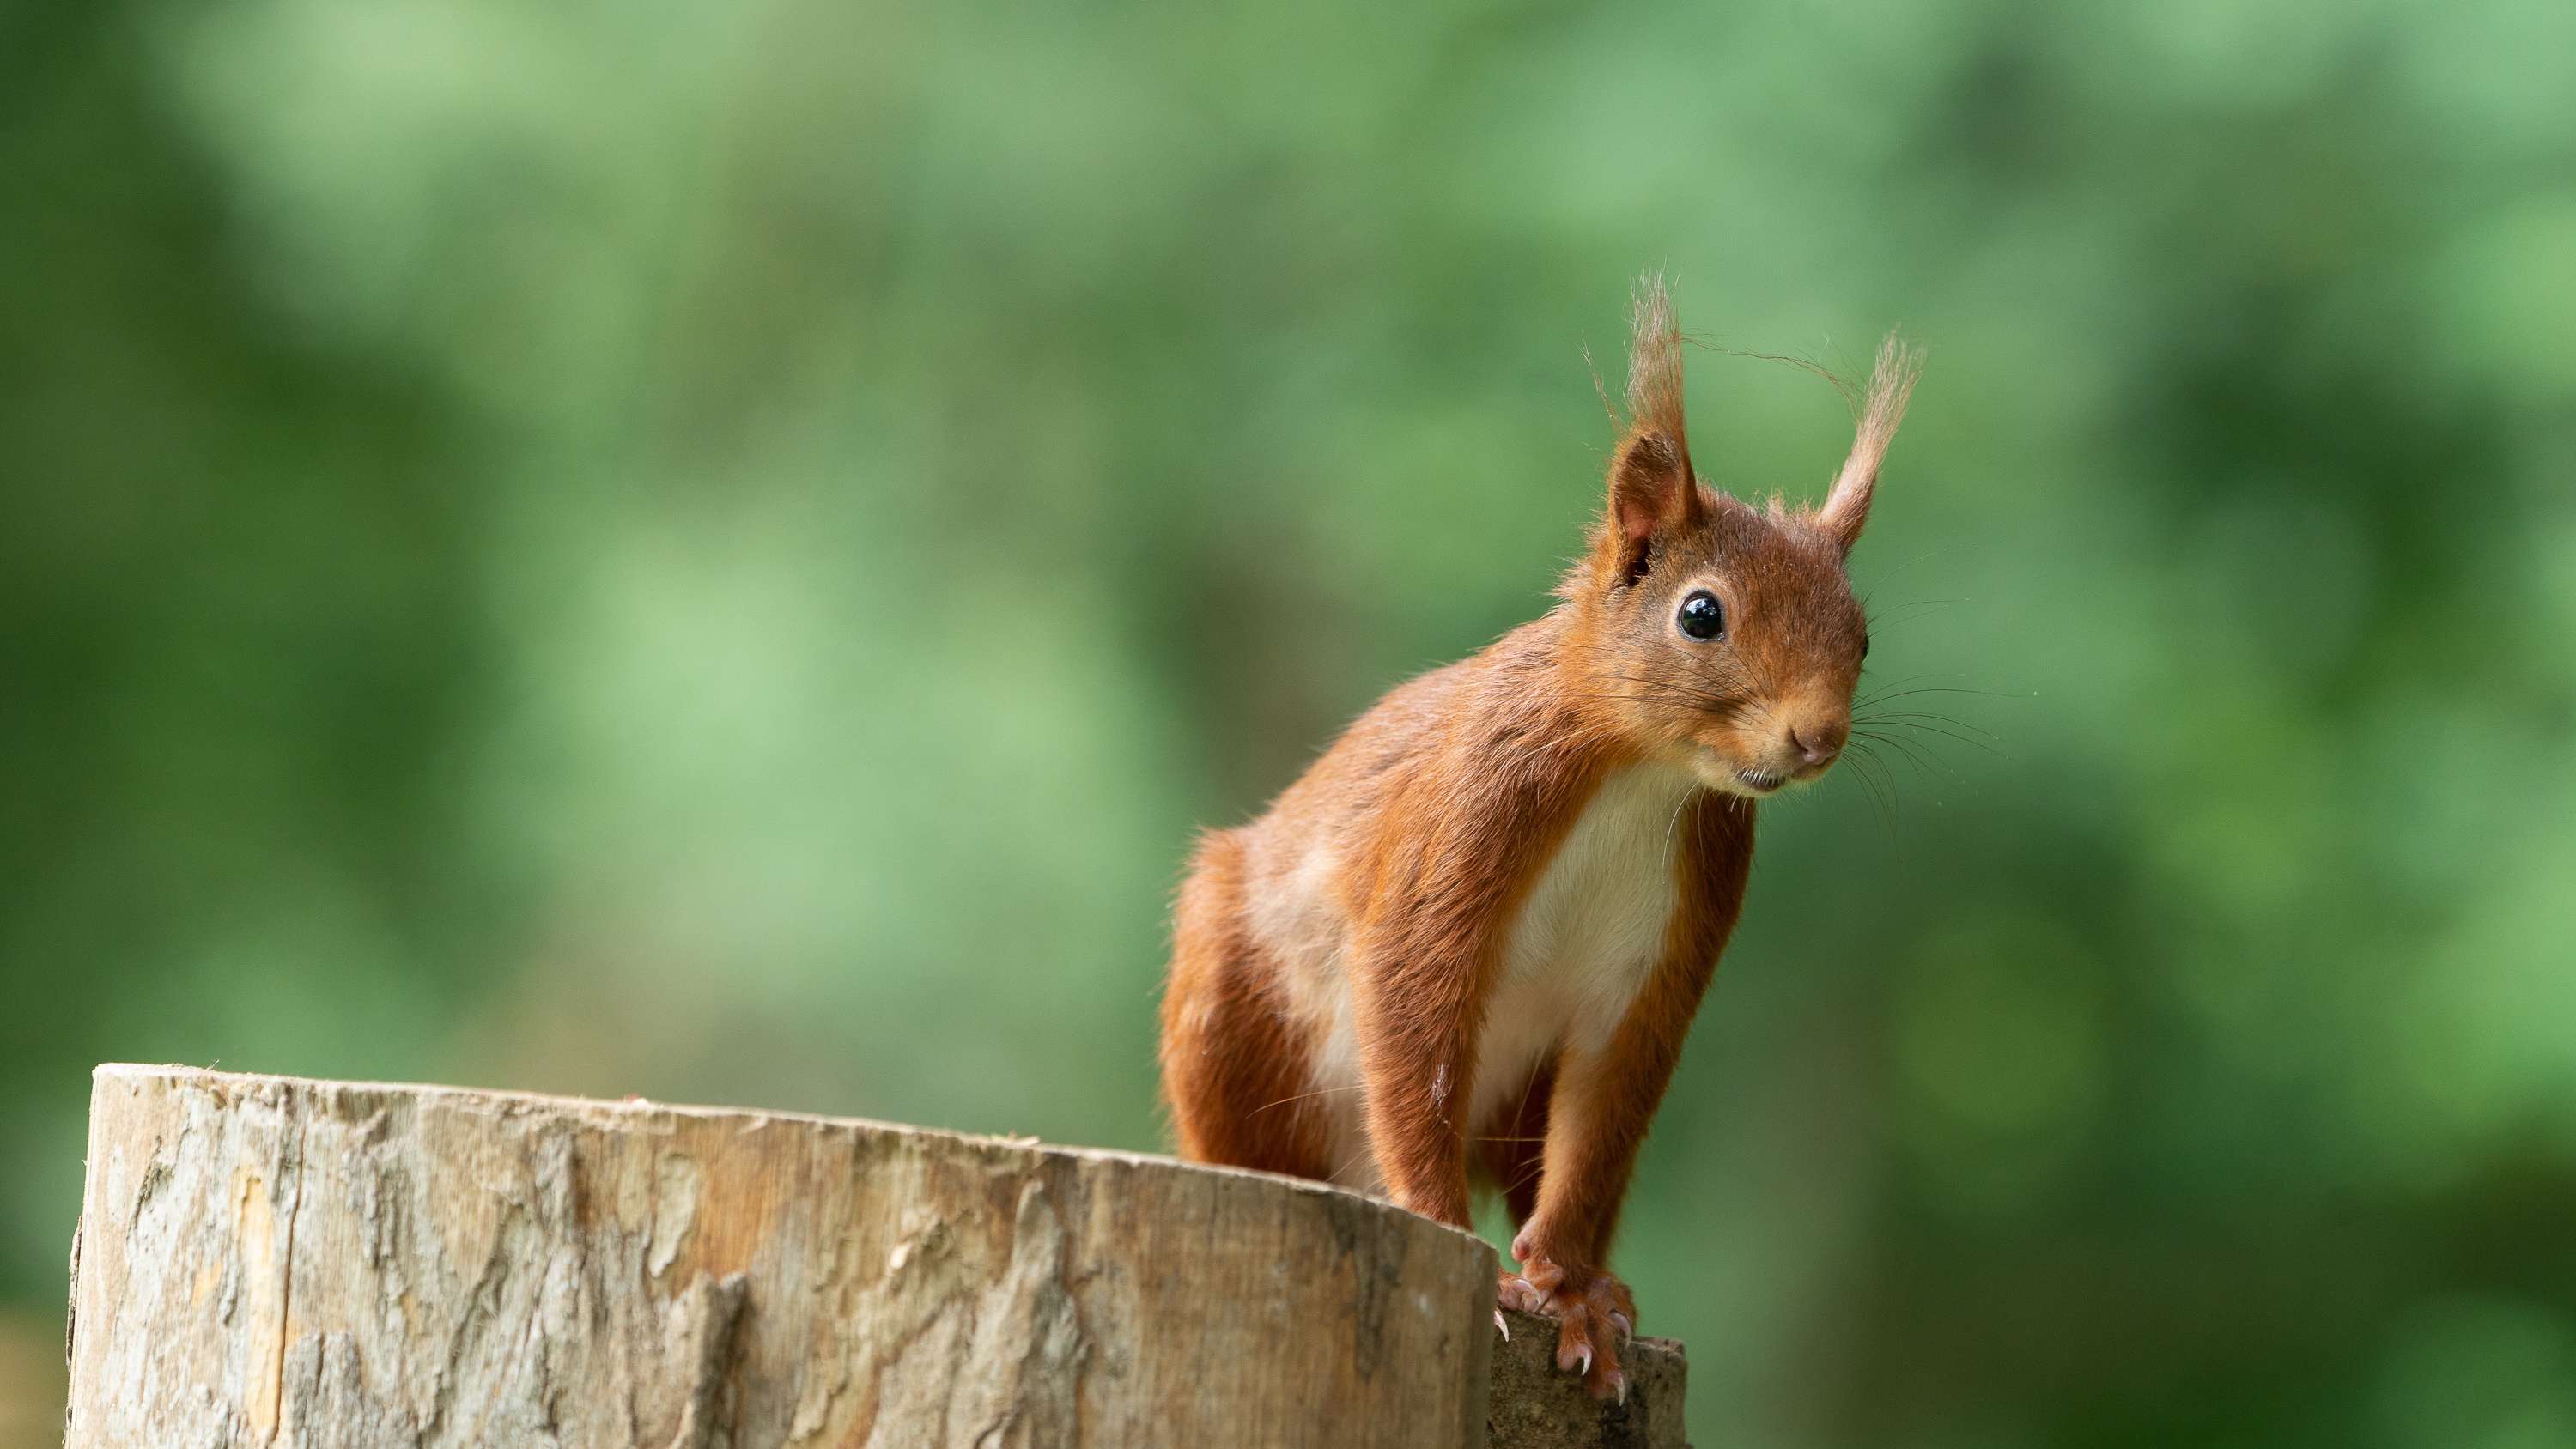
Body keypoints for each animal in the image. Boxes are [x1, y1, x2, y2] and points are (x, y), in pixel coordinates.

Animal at [1159, 277, 1927, 1400]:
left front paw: (1569, 1288)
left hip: (1518, 1100)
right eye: (1701, 614)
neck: (1644, 776)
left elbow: (1608, 1102)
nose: (1816, 737)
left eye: (1864, 635)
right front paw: (1463, 1250)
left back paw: (1593, 1280)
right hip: (1231, 1010)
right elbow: (1412, 1012)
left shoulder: (1666, 951)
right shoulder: (1468, 817)